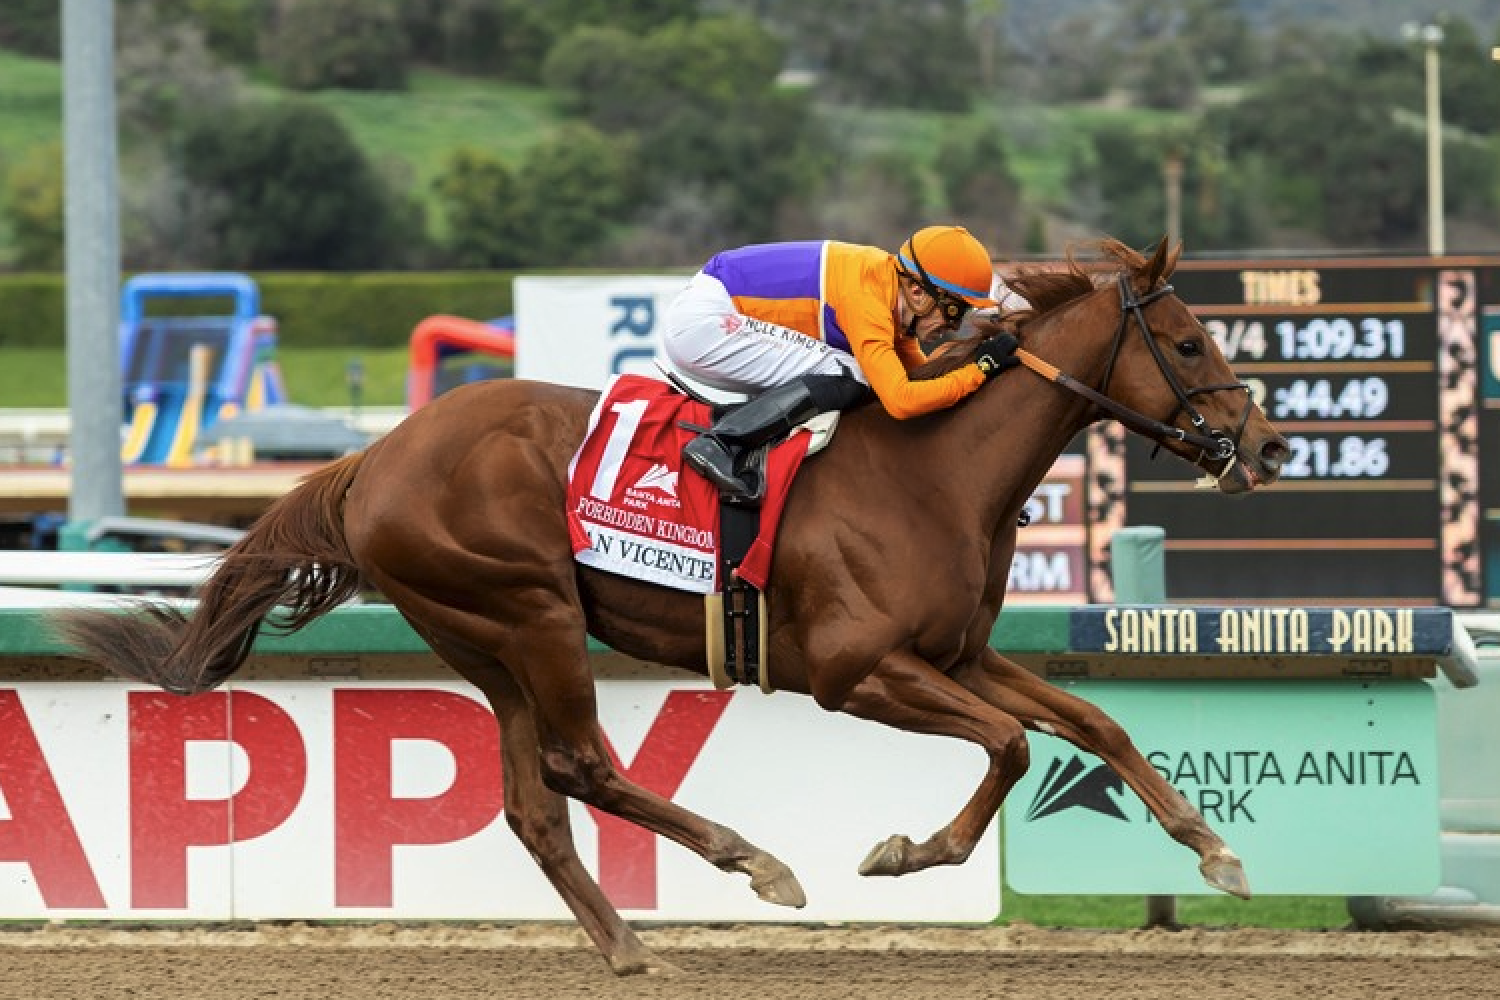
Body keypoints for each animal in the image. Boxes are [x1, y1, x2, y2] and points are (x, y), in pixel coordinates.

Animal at [58, 238, 1290, 971]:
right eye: (1189, 340)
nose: (1271, 447)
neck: (936, 470)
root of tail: (374, 458)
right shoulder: (855, 671)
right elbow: (1010, 748)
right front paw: (903, 852)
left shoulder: (959, 653)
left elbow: (1093, 722)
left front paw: (1216, 851)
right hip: (531, 611)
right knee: (581, 766)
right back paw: (755, 863)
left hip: (487, 640)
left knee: (536, 802)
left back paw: (628, 947)